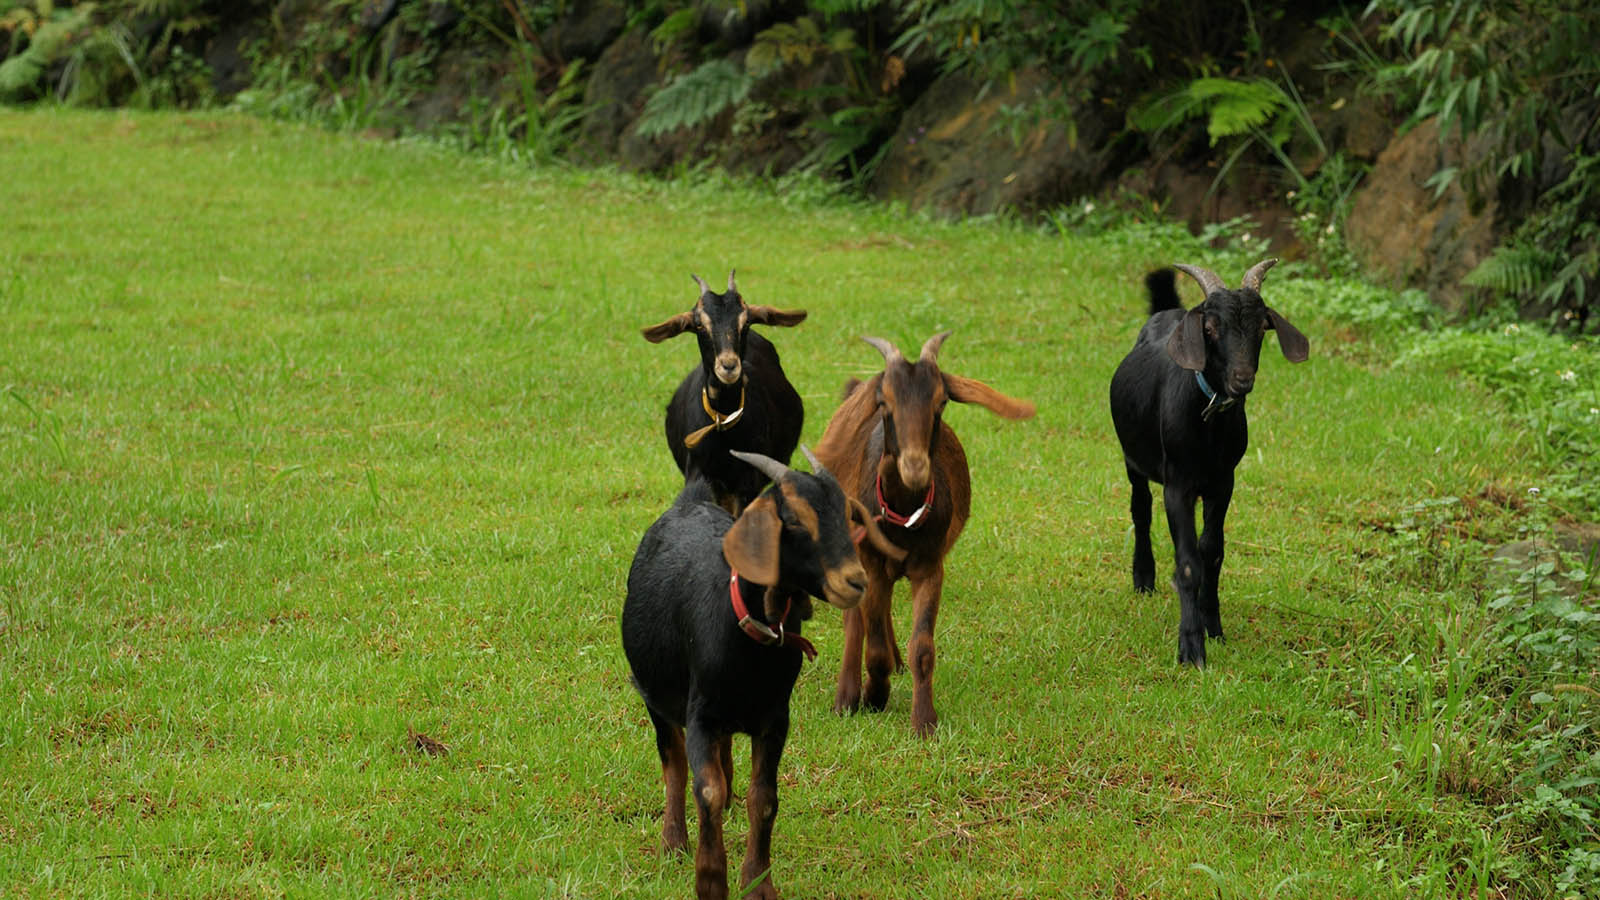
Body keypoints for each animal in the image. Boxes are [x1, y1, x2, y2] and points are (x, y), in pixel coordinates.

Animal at [620, 448, 902, 896]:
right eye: (795, 520)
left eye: (847, 515)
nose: (855, 581)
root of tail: (689, 499)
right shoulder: (700, 714)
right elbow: (706, 789)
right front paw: (710, 881)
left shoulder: (775, 718)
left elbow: (764, 799)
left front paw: (758, 884)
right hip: (655, 695)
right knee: (675, 764)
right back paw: (673, 841)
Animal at [640, 267, 806, 512]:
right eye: (699, 324)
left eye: (746, 322)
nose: (728, 365)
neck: (724, 426)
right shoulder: (698, 473)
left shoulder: (748, 480)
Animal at [812, 331, 1036, 736]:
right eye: (884, 402)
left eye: (942, 401)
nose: (915, 467)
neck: (903, 520)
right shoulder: (871, 561)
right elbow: (874, 646)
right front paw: (873, 697)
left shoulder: (931, 567)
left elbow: (923, 648)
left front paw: (924, 720)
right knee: (856, 621)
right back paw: (846, 696)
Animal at [1113, 259, 1312, 666]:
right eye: (1210, 328)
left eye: (1262, 327)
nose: (1242, 379)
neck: (1209, 424)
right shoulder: (1178, 486)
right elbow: (1189, 562)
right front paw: (1191, 648)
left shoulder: (1223, 484)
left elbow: (1212, 553)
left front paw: (1213, 627)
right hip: (1133, 461)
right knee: (1140, 509)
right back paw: (1144, 577)